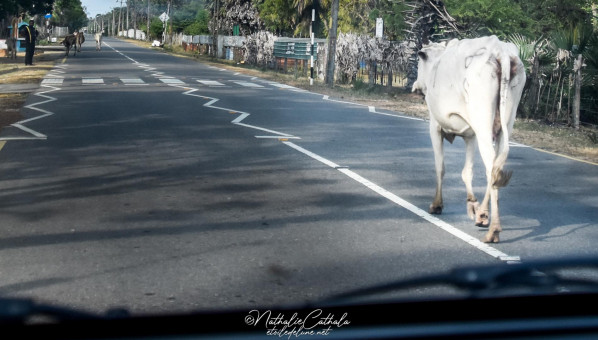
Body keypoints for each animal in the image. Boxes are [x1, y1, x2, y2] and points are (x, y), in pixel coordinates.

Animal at [414, 35, 528, 242]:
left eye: (419, 62)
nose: (416, 85)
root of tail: (500, 51)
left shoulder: (434, 126)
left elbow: (440, 167)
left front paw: (437, 204)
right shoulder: (470, 135)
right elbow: (467, 172)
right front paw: (472, 204)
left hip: (483, 125)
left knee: (491, 168)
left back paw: (493, 229)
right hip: (505, 123)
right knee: (495, 167)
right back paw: (483, 214)